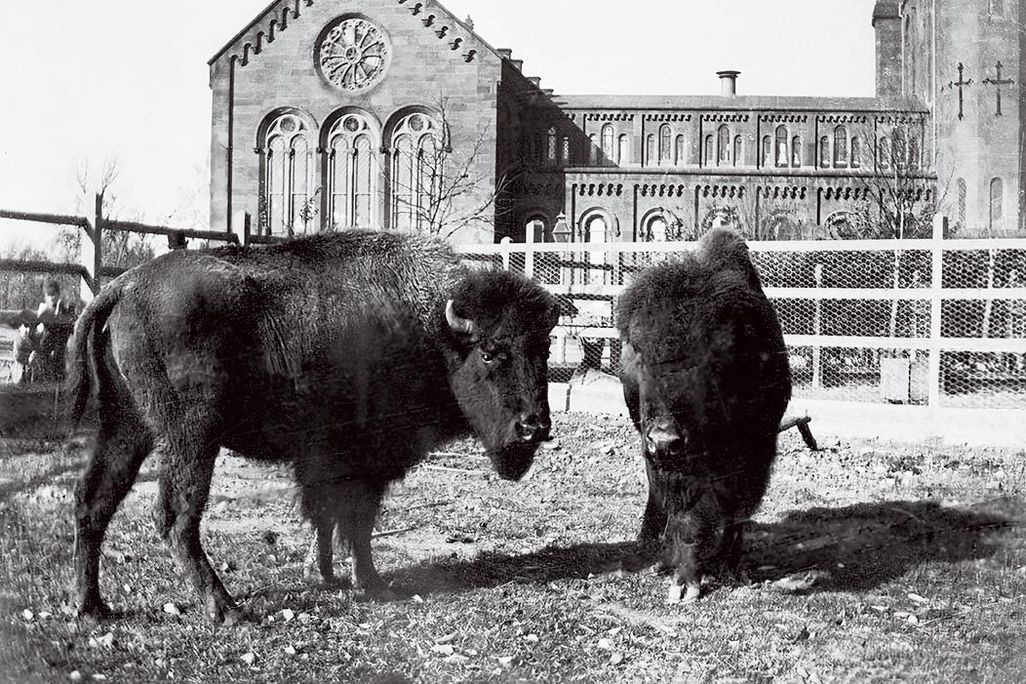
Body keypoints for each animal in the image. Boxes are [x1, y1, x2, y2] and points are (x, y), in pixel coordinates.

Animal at [69, 231, 559, 622]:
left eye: (546, 348)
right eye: (490, 353)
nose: (533, 427)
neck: (434, 330)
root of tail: (123, 286)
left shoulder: (324, 459)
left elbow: (324, 514)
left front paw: (323, 574)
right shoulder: (365, 459)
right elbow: (356, 520)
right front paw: (370, 582)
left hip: (126, 428)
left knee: (94, 499)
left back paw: (93, 608)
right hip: (191, 437)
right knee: (176, 515)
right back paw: (226, 609)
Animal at [617, 228, 791, 602]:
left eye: (716, 353)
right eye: (638, 350)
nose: (665, 439)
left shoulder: (754, 453)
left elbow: (735, 510)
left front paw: (729, 567)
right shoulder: (671, 461)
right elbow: (684, 514)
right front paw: (683, 581)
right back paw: (658, 554)